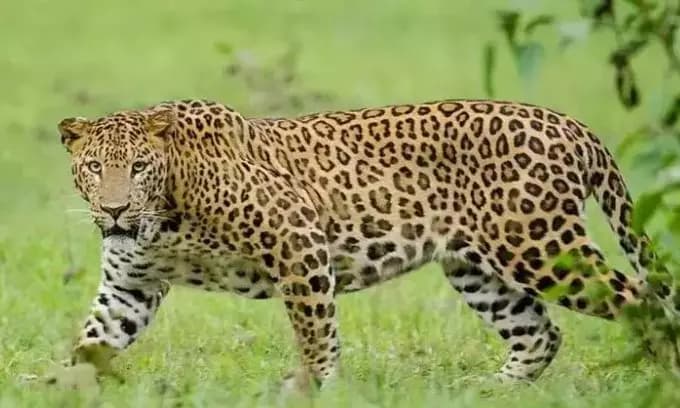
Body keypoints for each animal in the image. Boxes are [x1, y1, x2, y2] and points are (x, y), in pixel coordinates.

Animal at [56, 98, 676, 390]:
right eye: (94, 167)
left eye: (138, 167)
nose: (115, 209)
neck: (164, 217)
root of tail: (572, 125)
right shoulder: (131, 285)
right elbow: (92, 342)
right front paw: (58, 388)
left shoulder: (298, 240)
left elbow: (315, 333)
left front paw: (310, 388)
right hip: (477, 268)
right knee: (539, 333)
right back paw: (490, 392)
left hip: (540, 247)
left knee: (644, 303)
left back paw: (661, 379)